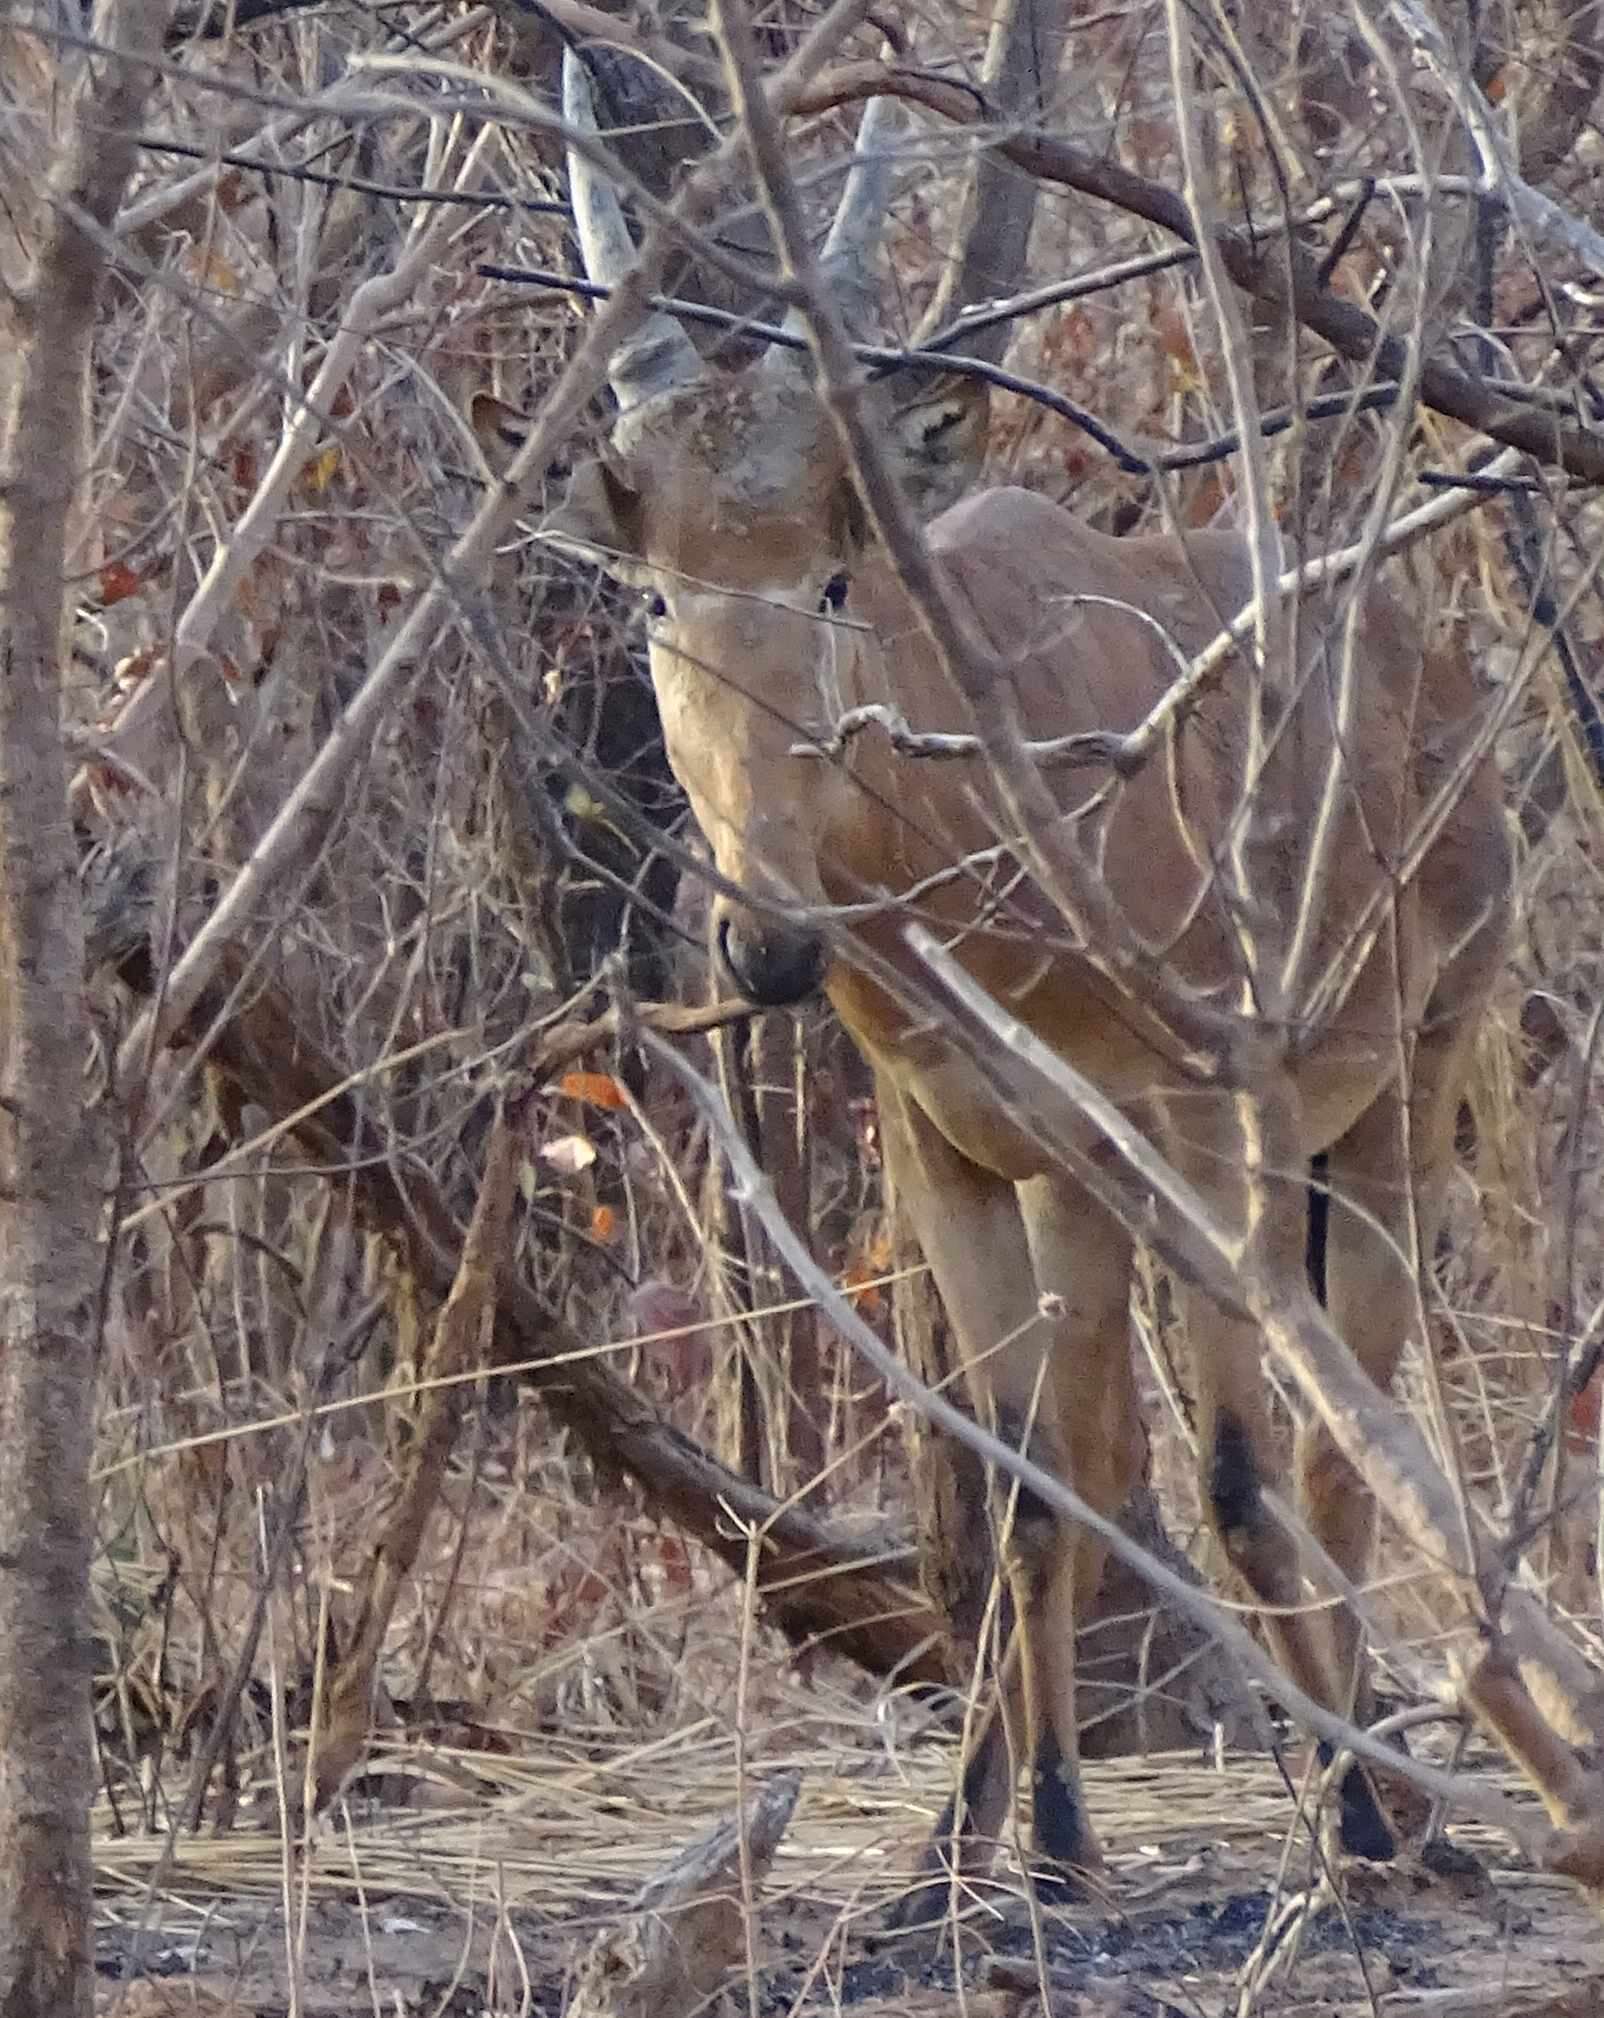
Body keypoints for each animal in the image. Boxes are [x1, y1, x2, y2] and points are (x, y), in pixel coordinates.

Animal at [486, 55, 1517, 1921]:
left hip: (1391, 1093)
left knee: (1338, 1446)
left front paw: (1344, 1822)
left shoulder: (1192, 1126)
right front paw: (990, 1838)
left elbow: (1240, 1473)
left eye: (832, 570)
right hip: (1117, 1179)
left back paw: (1405, 1807)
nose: (765, 940)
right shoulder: (954, 1150)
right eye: (653, 590)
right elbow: (1015, 1473)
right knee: (1119, 1456)